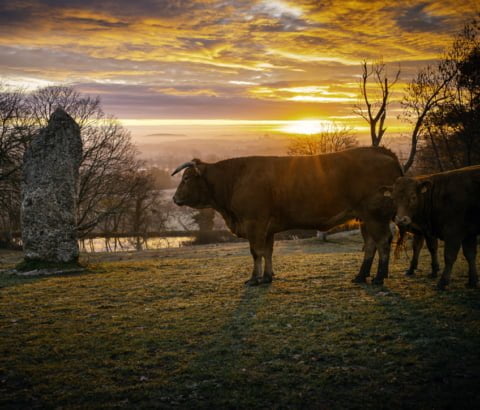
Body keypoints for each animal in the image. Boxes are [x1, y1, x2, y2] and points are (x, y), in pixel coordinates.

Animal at [171, 147, 404, 286]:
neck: (235, 179)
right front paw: (267, 277)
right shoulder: (267, 228)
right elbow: (268, 252)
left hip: (375, 216)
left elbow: (255, 252)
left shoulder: (254, 224)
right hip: (365, 218)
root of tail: (380, 151)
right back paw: (361, 276)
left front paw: (254, 279)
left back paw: (378, 278)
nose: (174, 198)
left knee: (382, 243)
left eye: (187, 178)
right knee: (371, 245)